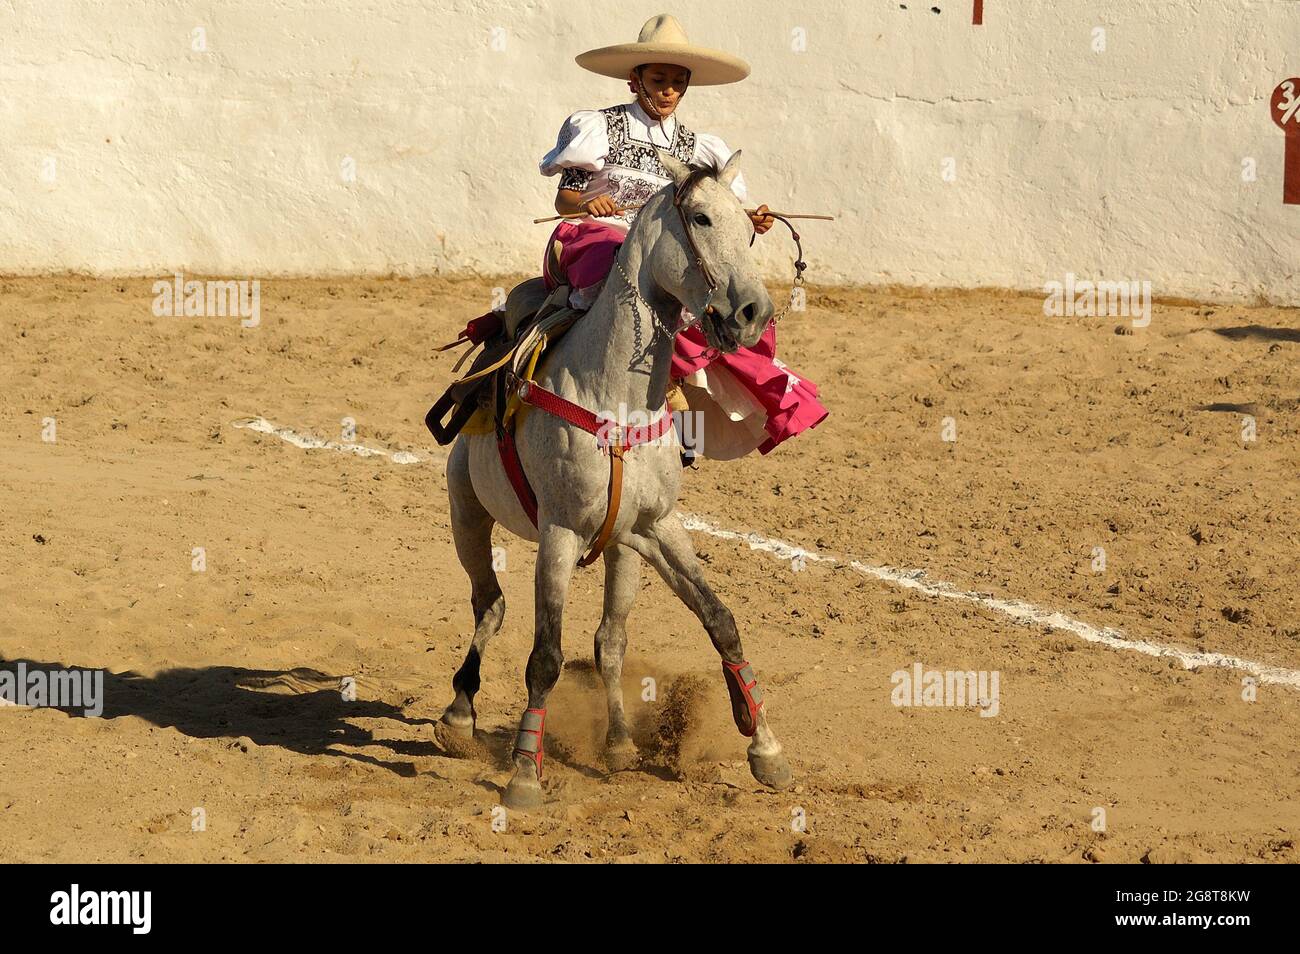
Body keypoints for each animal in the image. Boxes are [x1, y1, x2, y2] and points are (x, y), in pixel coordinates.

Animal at [436, 151, 790, 816]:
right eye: (701, 218)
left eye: (750, 228)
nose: (754, 313)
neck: (615, 398)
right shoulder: (558, 534)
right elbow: (545, 658)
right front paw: (524, 776)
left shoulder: (659, 526)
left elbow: (721, 621)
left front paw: (766, 749)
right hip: (466, 512)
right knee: (490, 604)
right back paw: (459, 714)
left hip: (625, 549)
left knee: (611, 638)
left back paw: (622, 743)